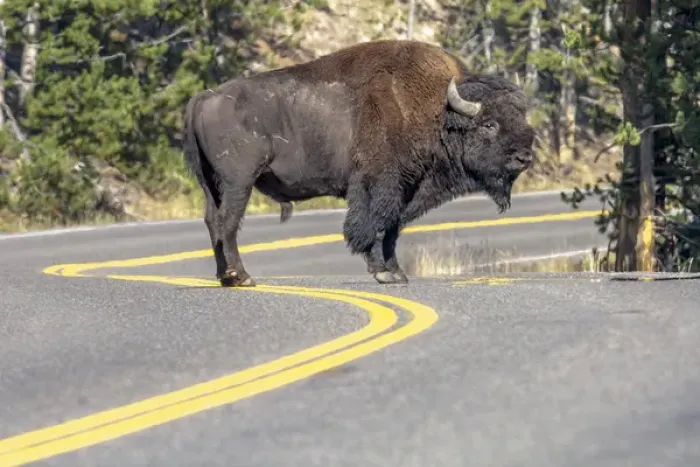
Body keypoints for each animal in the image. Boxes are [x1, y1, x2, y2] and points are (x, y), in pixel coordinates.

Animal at [182, 39, 535, 286]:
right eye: (488, 124)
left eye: (521, 116)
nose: (525, 156)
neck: (439, 112)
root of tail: (204, 97)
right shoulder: (379, 184)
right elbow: (375, 225)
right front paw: (383, 273)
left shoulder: (407, 188)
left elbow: (393, 229)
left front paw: (397, 273)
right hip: (239, 183)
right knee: (228, 222)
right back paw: (241, 276)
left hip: (212, 185)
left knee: (213, 220)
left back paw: (225, 277)